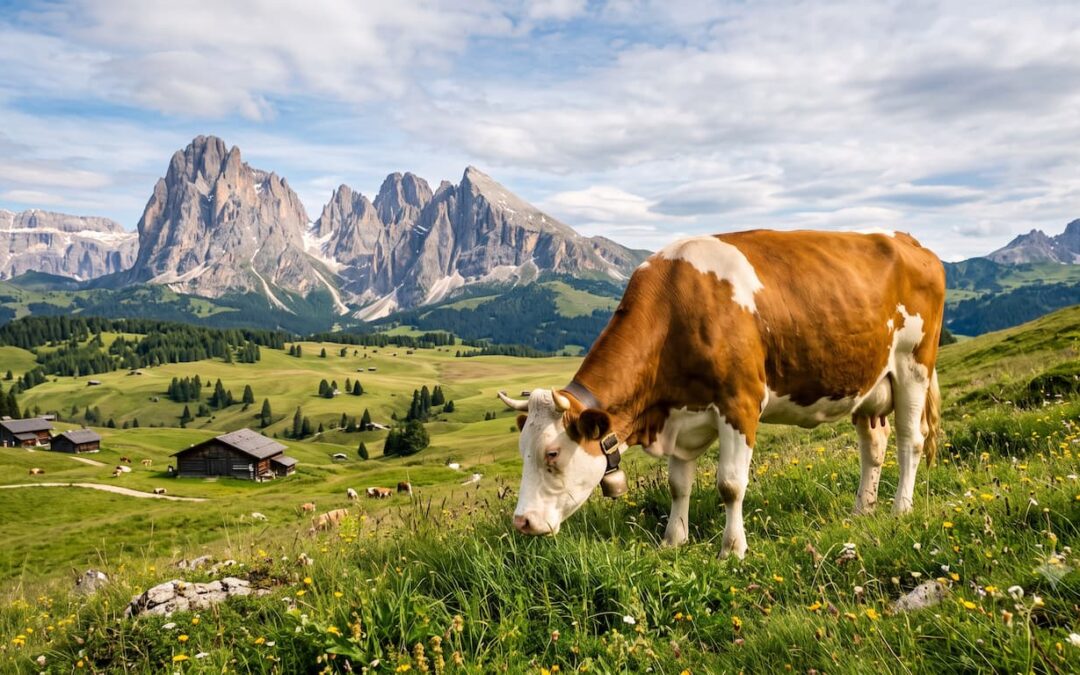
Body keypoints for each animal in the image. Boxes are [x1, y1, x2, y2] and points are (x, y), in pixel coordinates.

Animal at [500, 231, 945, 559]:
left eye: (551, 453)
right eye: (522, 451)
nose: (522, 522)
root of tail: (908, 241)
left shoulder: (740, 403)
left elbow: (730, 485)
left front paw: (732, 549)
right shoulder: (680, 413)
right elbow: (678, 485)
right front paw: (673, 540)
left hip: (913, 368)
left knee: (910, 441)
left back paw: (899, 509)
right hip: (868, 384)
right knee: (874, 446)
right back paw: (861, 510)